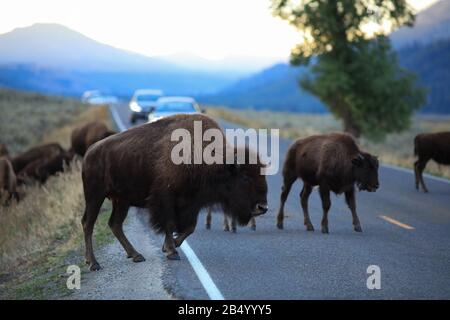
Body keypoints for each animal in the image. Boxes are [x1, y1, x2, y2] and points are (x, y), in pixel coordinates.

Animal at [81, 114, 268, 272]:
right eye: (245, 177)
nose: (263, 207)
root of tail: (89, 152)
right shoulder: (166, 200)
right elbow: (170, 224)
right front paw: (172, 251)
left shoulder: (192, 203)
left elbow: (189, 228)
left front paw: (169, 247)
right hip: (95, 197)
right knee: (88, 224)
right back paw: (94, 263)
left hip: (121, 201)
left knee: (115, 224)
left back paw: (136, 255)